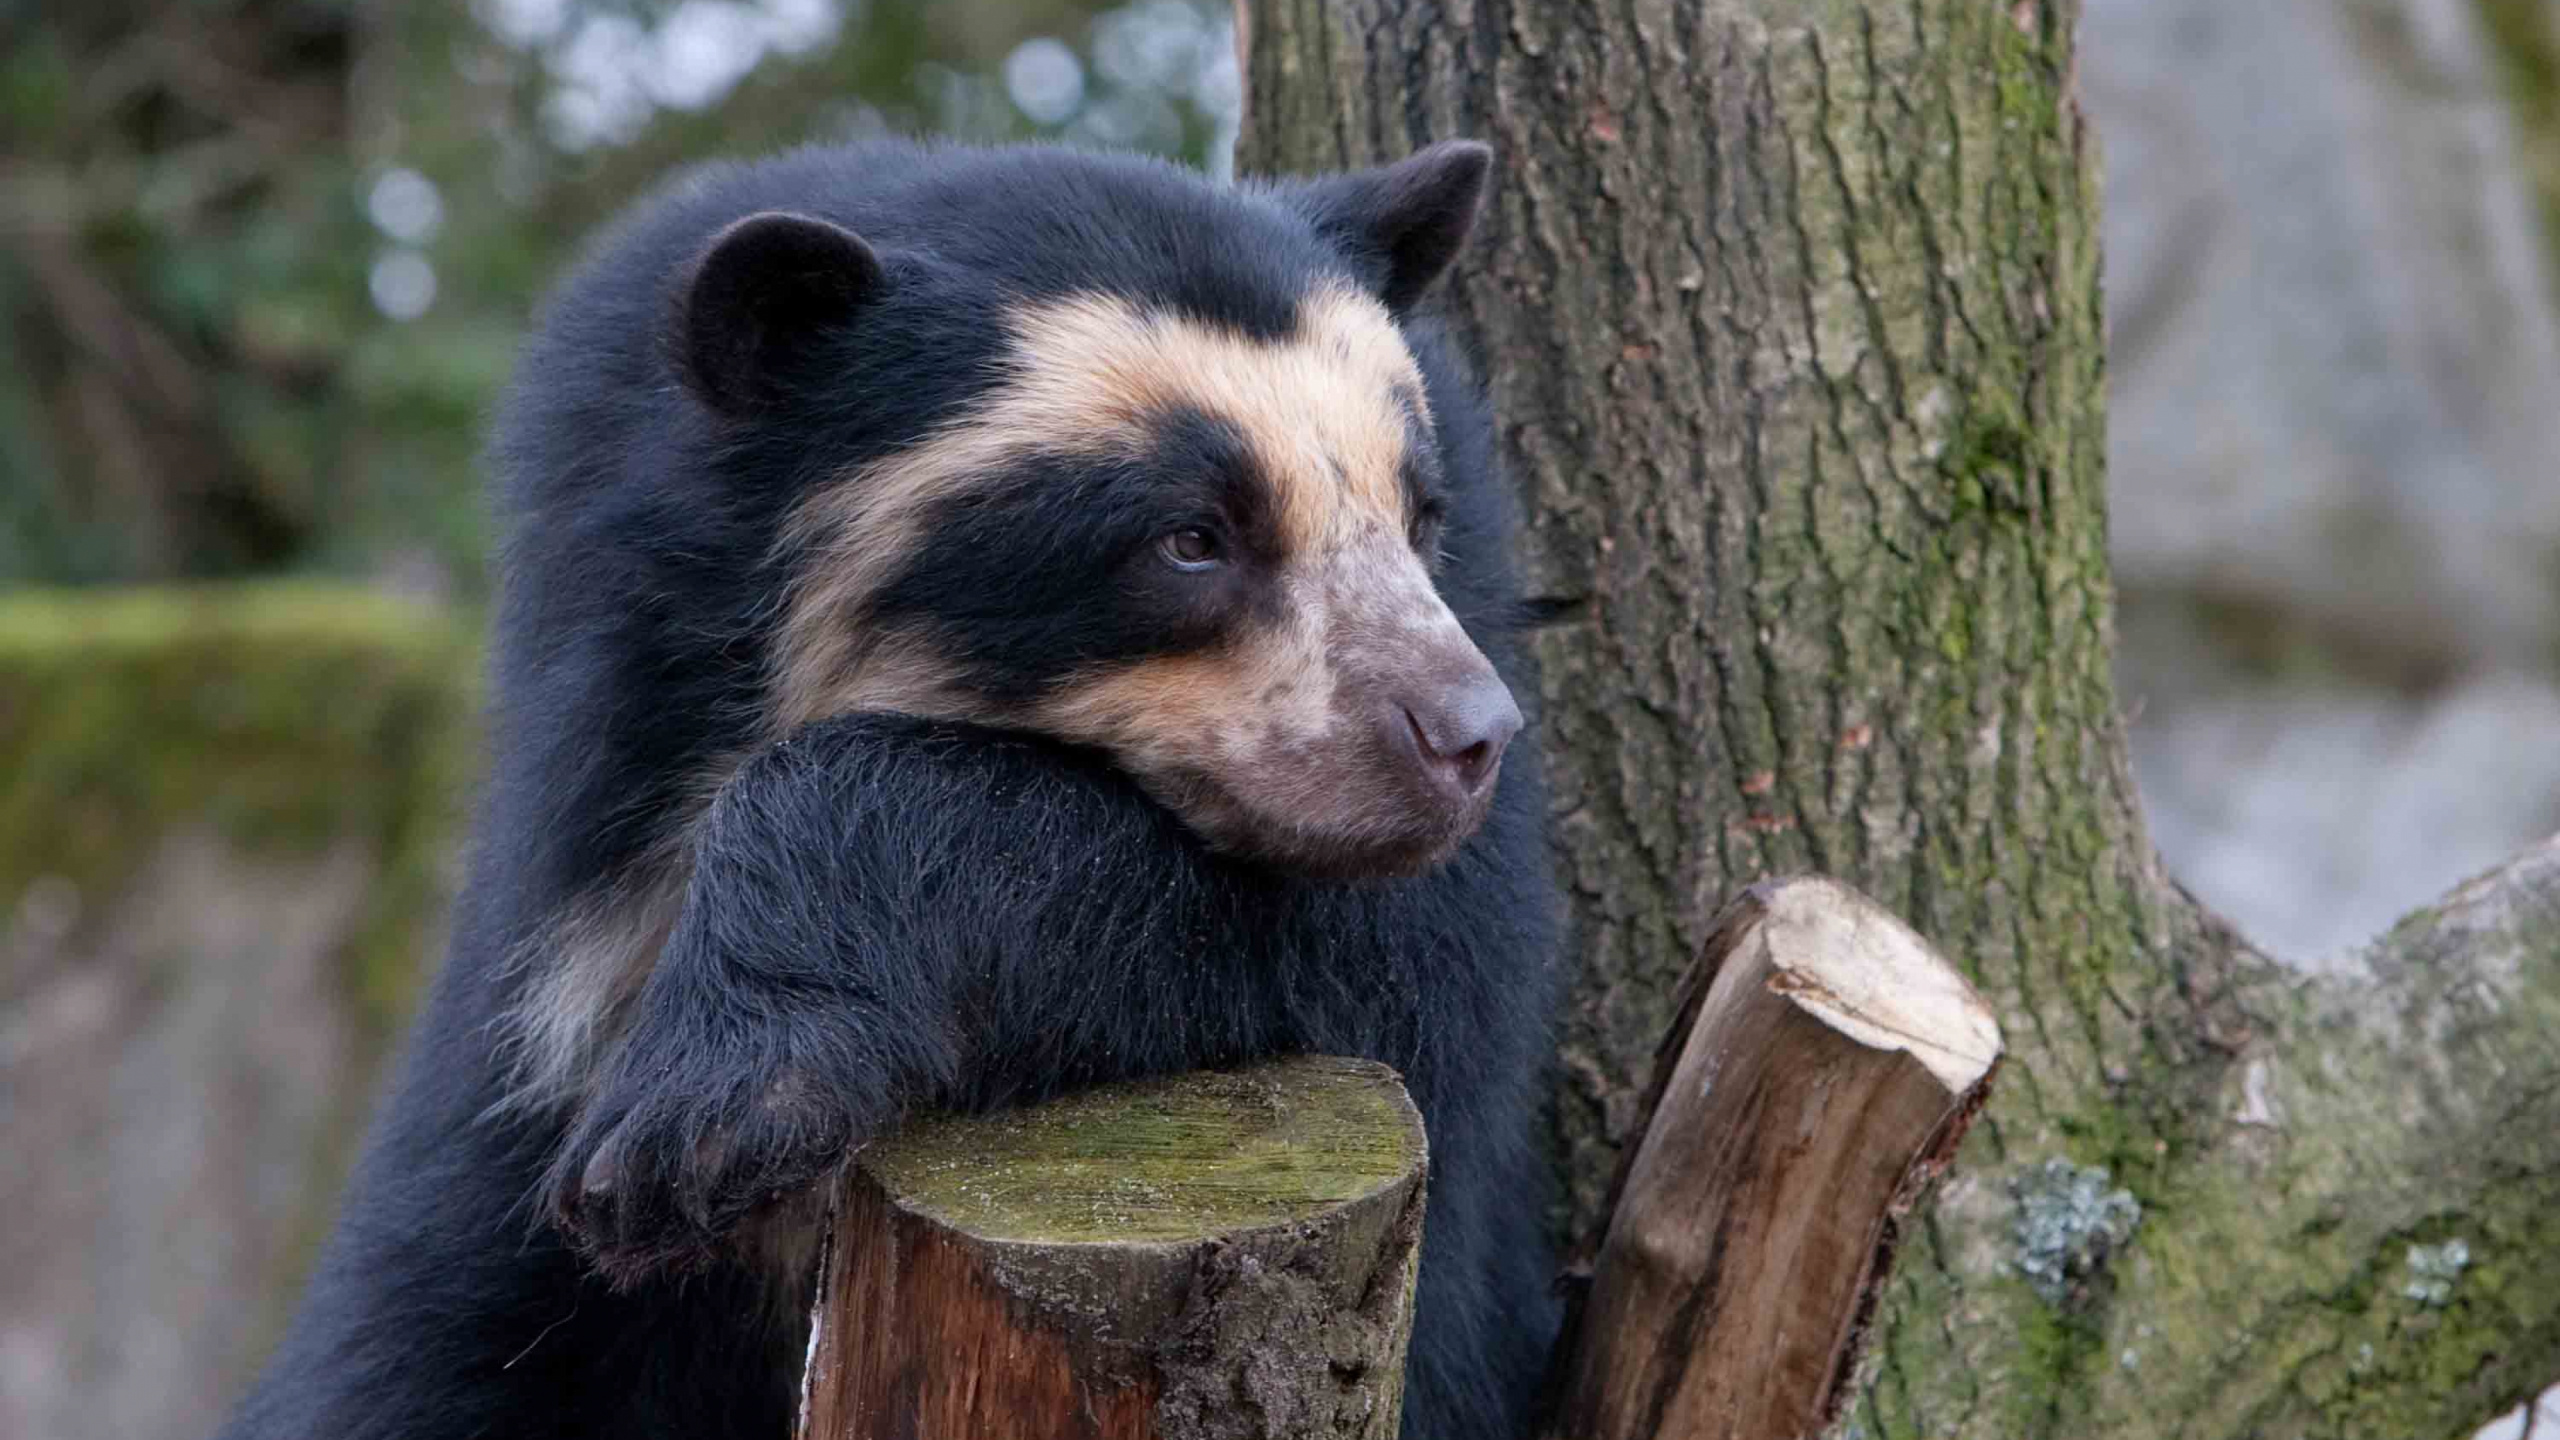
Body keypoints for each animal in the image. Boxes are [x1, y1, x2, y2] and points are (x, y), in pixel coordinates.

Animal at [215, 137, 1562, 1440]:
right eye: (1191, 537)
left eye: (1419, 515)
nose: (1468, 736)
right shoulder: (550, 941)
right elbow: (418, 1339)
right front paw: (665, 1163)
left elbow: (1398, 962)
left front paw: (694, 1122)